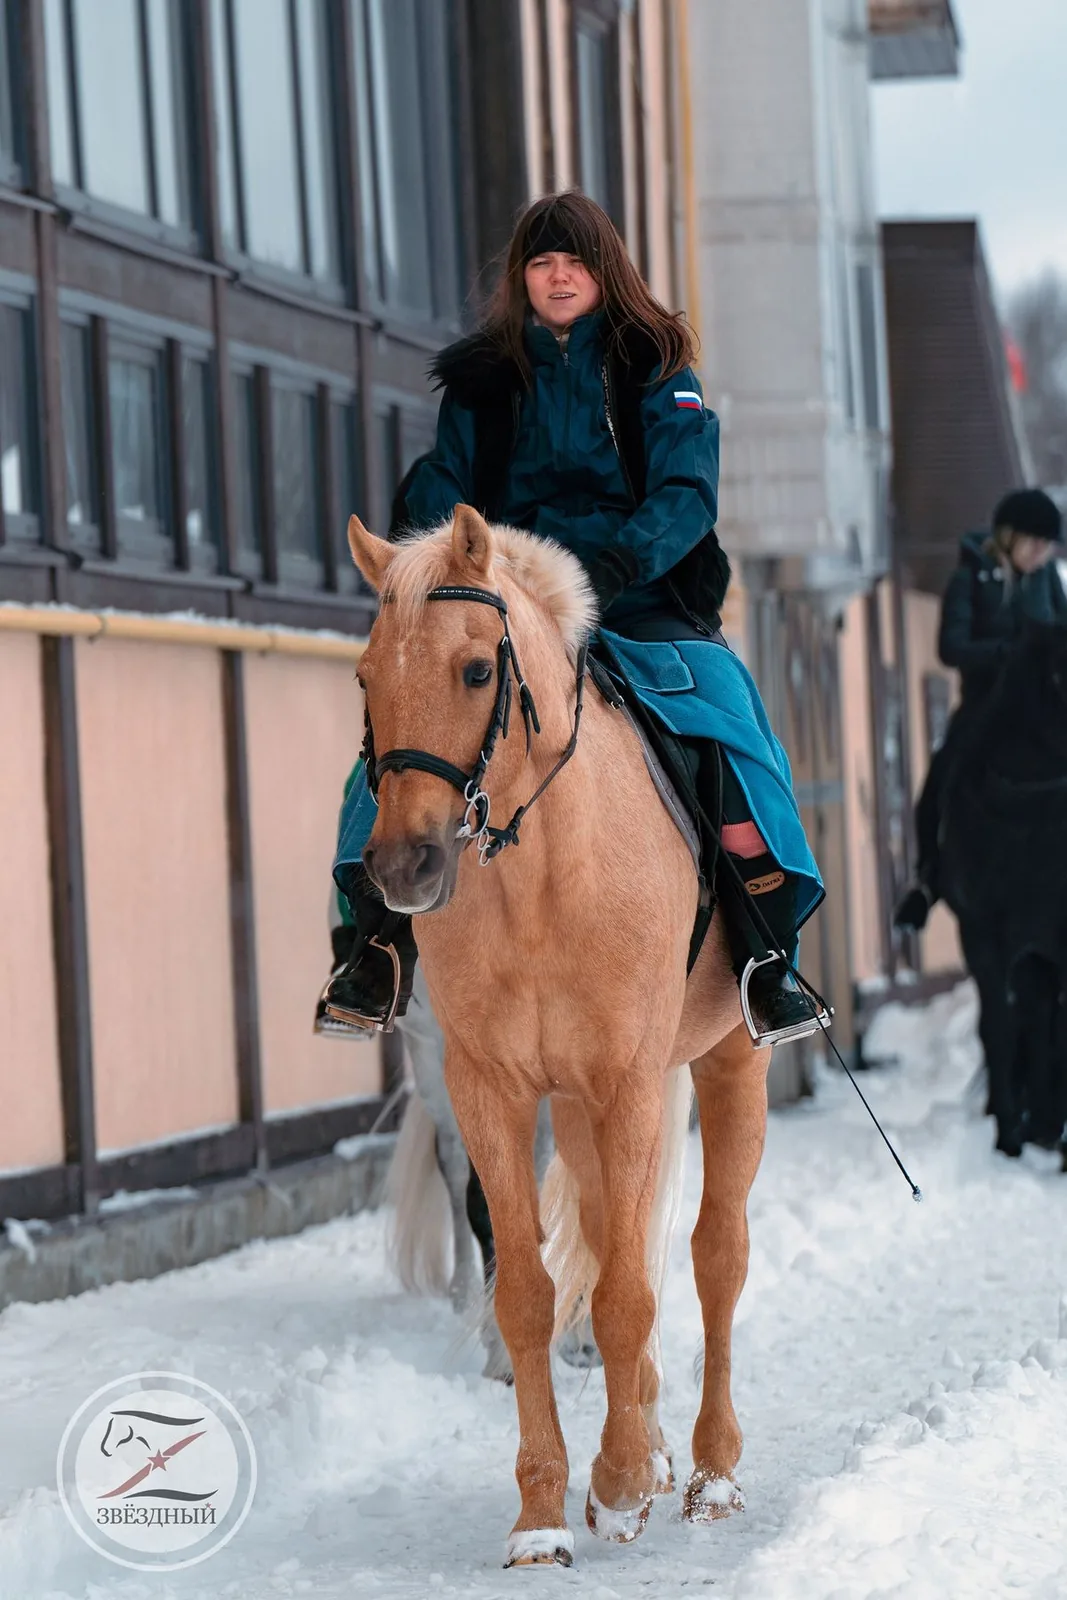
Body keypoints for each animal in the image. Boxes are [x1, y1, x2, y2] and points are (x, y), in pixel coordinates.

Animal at [347, 505, 769, 1568]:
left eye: (474, 670)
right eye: (366, 677)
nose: (403, 867)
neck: (538, 881)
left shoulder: (629, 1082)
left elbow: (625, 1291)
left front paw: (616, 1487)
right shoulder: (486, 1085)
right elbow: (527, 1288)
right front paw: (542, 1515)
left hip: (724, 1061)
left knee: (712, 1254)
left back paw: (708, 1471)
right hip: (572, 1107)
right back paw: (657, 1451)